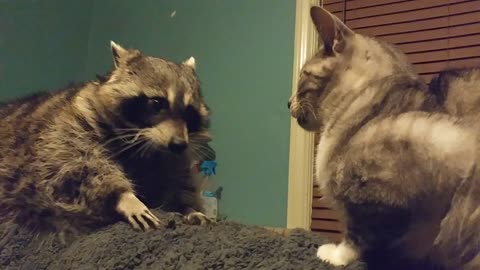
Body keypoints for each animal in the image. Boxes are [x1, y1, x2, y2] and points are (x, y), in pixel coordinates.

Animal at [0, 40, 212, 236]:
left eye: (189, 112)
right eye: (157, 103)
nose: (179, 144)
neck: (144, 147)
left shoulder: (170, 158)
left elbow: (173, 183)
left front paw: (186, 207)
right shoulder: (69, 130)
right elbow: (79, 167)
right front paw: (125, 197)